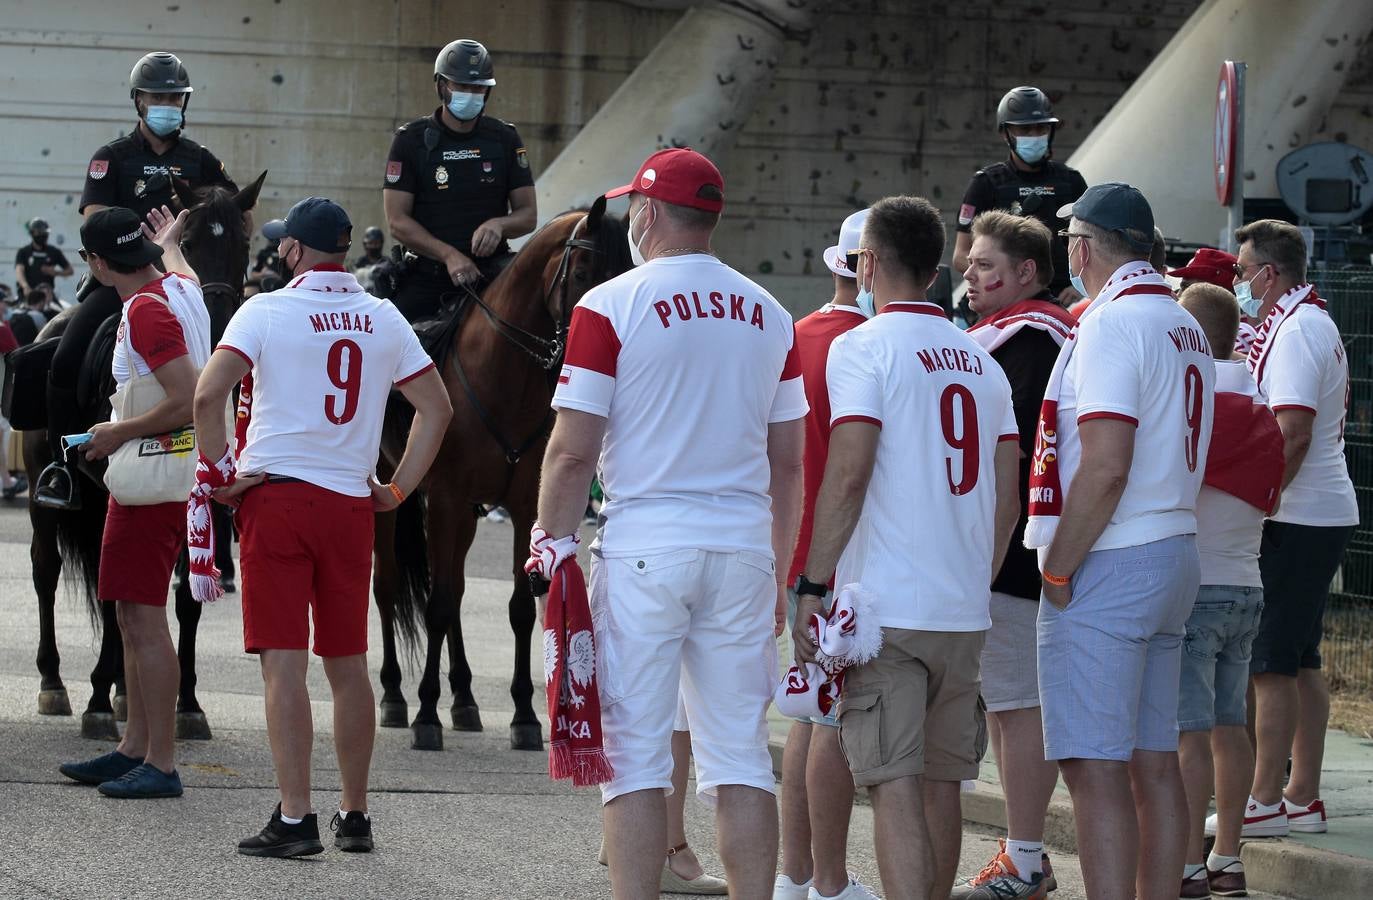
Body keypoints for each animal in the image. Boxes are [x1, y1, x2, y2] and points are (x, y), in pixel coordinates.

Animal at [22, 172, 264, 741]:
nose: (217, 322)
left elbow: (185, 597)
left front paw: (187, 703)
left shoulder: (203, 499)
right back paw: (56, 682)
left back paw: (126, 690)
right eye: (189, 242)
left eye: (243, 246)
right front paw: (96, 701)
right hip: (50, 493)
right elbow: (111, 591)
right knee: (47, 570)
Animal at [376, 199, 631, 752]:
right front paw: (425, 715)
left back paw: (465, 699)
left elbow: (517, 608)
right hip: (393, 495)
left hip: (468, 514)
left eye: (626, 273)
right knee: (389, 587)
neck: (505, 377)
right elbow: (437, 603)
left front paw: (525, 716)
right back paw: (394, 695)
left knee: (454, 590)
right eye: (584, 272)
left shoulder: (521, 507)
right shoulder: (445, 499)